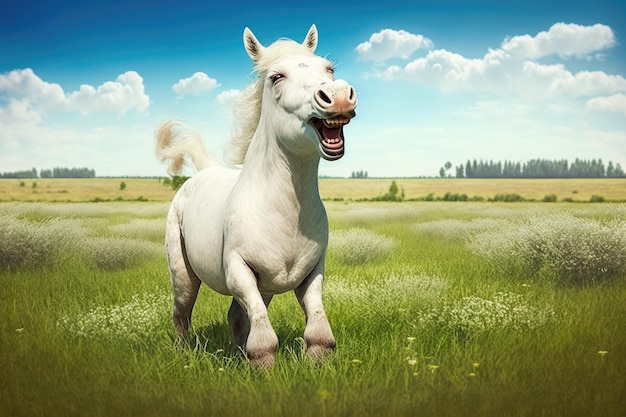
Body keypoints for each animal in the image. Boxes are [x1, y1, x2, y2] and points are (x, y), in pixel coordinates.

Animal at [155, 24, 356, 366]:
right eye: (276, 76)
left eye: (329, 69)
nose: (339, 97)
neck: (285, 212)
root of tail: (205, 171)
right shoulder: (239, 272)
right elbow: (263, 339)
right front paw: (262, 367)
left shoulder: (311, 274)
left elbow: (318, 332)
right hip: (183, 275)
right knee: (182, 313)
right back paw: (185, 354)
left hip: (267, 288)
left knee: (236, 317)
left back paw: (237, 355)